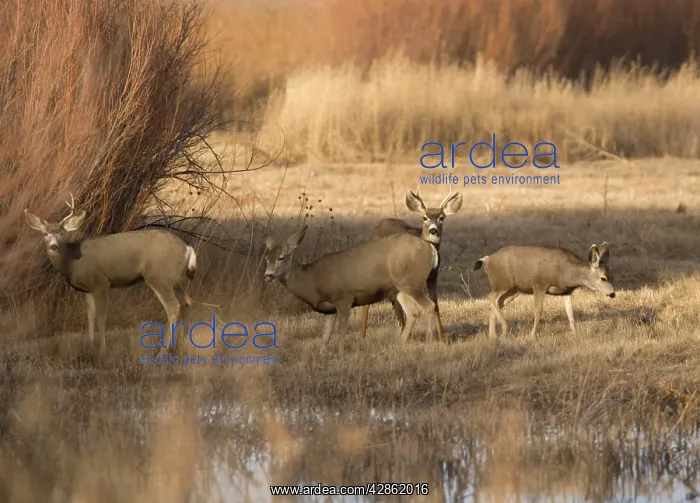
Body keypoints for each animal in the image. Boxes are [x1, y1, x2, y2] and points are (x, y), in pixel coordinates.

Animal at [23, 194, 197, 355]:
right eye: (45, 233)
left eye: (61, 233)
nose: (53, 246)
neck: (73, 262)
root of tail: (187, 248)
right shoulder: (88, 290)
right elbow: (90, 316)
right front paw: (90, 347)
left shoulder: (101, 283)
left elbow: (101, 317)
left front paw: (102, 351)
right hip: (172, 278)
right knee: (187, 301)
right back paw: (184, 344)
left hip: (158, 276)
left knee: (173, 307)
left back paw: (163, 351)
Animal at [263, 224, 444, 350]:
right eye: (267, 258)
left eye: (281, 257)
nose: (268, 275)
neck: (312, 280)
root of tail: (431, 250)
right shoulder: (330, 308)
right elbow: (325, 335)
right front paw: (323, 354)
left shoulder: (344, 297)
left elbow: (341, 332)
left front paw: (340, 353)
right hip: (400, 286)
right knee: (413, 311)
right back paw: (399, 343)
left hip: (412, 282)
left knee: (430, 306)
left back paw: (428, 342)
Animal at [357, 185, 463, 343]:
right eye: (424, 217)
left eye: (441, 218)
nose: (433, 230)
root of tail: (377, 227)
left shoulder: (433, 276)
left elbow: (436, 304)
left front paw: (442, 340)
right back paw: (363, 336)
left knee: (395, 300)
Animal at [473, 243, 615, 339]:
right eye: (603, 278)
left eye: (612, 277)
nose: (612, 294)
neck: (566, 272)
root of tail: (487, 259)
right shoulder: (539, 284)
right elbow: (538, 311)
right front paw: (532, 336)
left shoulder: (566, 291)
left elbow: (570, 312)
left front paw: (575, 334)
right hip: (502, 282)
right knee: (491, 297)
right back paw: (505, 328)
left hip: (514, 289)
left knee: (498, 302)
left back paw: (493, 336)